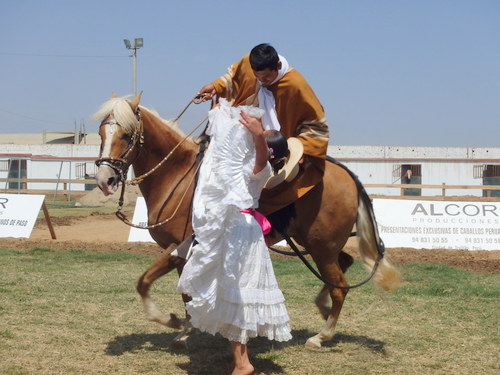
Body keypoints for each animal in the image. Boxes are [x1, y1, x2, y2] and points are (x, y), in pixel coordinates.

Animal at [92, 93, 400, 350]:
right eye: (101, 133)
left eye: (126, 135)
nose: (105, 180)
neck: (178, 177)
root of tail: (348, 175)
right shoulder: (182, 253)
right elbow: (185, 293)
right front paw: (187, 329)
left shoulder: (178, 247)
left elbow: (144, 282)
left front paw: (171, 321)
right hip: (318, 243)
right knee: (343, 268)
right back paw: (322, 309)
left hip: (322, 246)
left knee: (339, 287)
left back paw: (321, 336)